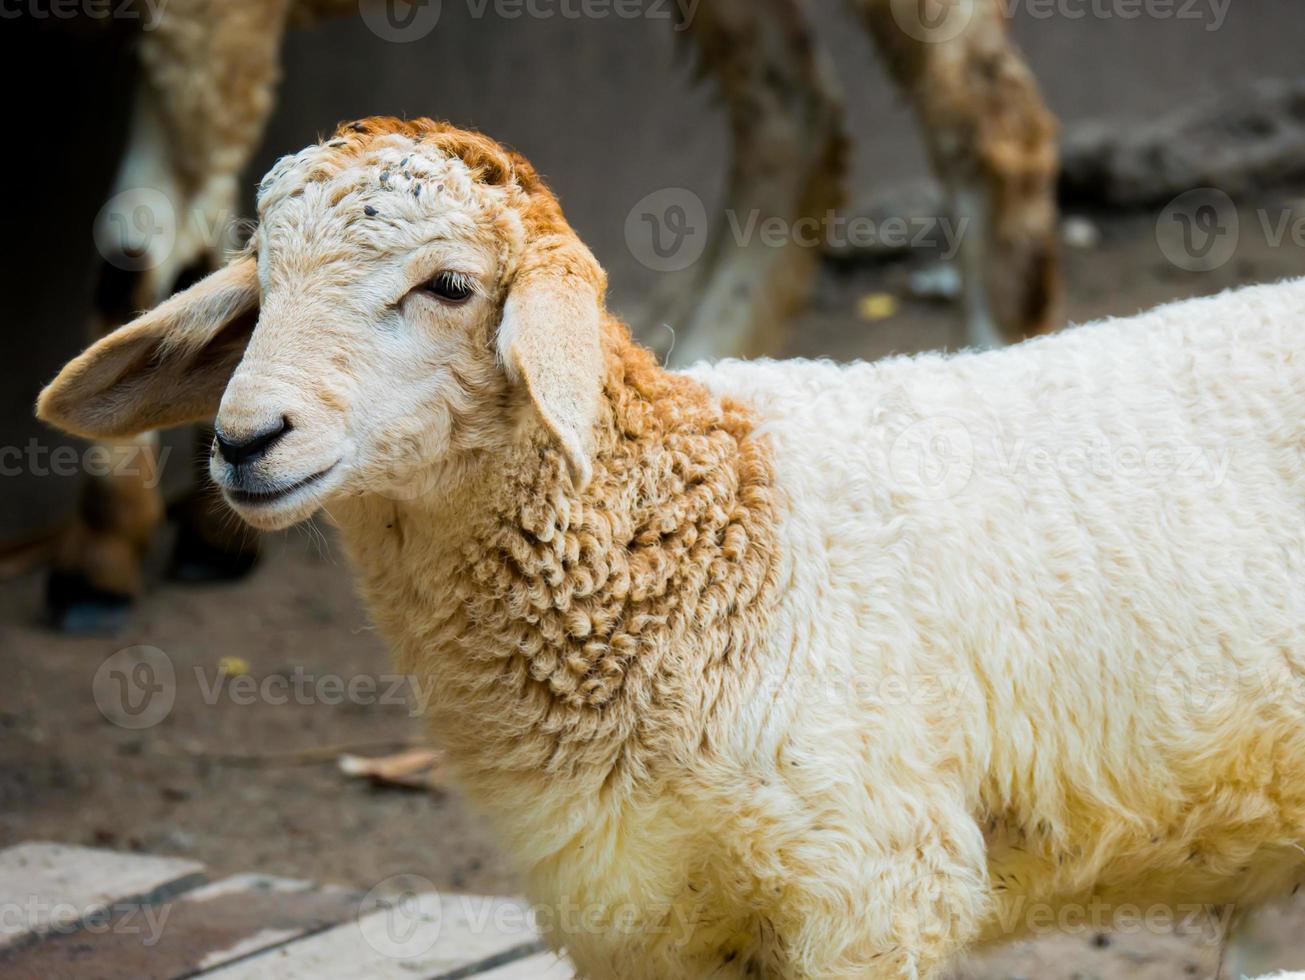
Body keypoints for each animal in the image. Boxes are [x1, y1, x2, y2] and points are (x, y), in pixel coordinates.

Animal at [35, 118, 1305, 976]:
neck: (692, 542)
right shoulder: (637, 907)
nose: (248, 439)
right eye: (260, 291)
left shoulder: (875, 883)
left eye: (448, 285)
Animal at [53, 0, 1059, 636]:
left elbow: (150, 235)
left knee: (989, 118)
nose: (245, 442)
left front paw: (118, 546)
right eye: (262, 289)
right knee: (795, 114)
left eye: (449, 286)